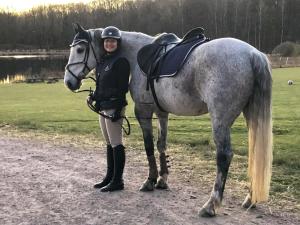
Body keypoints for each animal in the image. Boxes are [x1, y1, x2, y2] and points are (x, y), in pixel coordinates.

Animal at [64, 23, 274, 217]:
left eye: (80, 49)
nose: (68, 82)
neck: (136, 55)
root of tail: (253, 54)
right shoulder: (162, 113)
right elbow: (161, 145)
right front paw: (162, 180)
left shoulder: (143, 111)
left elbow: (149, 146)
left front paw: (150, 180)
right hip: (250, 115)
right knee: (255, 150)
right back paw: (250, 199)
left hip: (220, 120)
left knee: (224, 156)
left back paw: (211, 204)